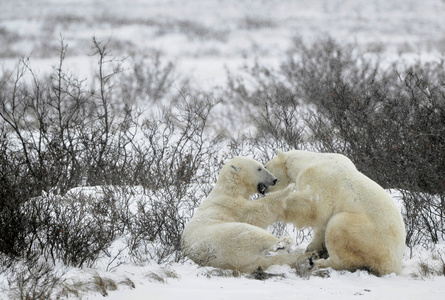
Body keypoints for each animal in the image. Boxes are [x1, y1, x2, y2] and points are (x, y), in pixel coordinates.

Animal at [264, 150, 406, 276]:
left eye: (265, 166)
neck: (312, 160)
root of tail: (394, 265)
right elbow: (322, 223)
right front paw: (313, 248)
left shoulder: (320, 179)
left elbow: (314, 206)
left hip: (369, 238)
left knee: (338, 227)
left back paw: (321, 263)